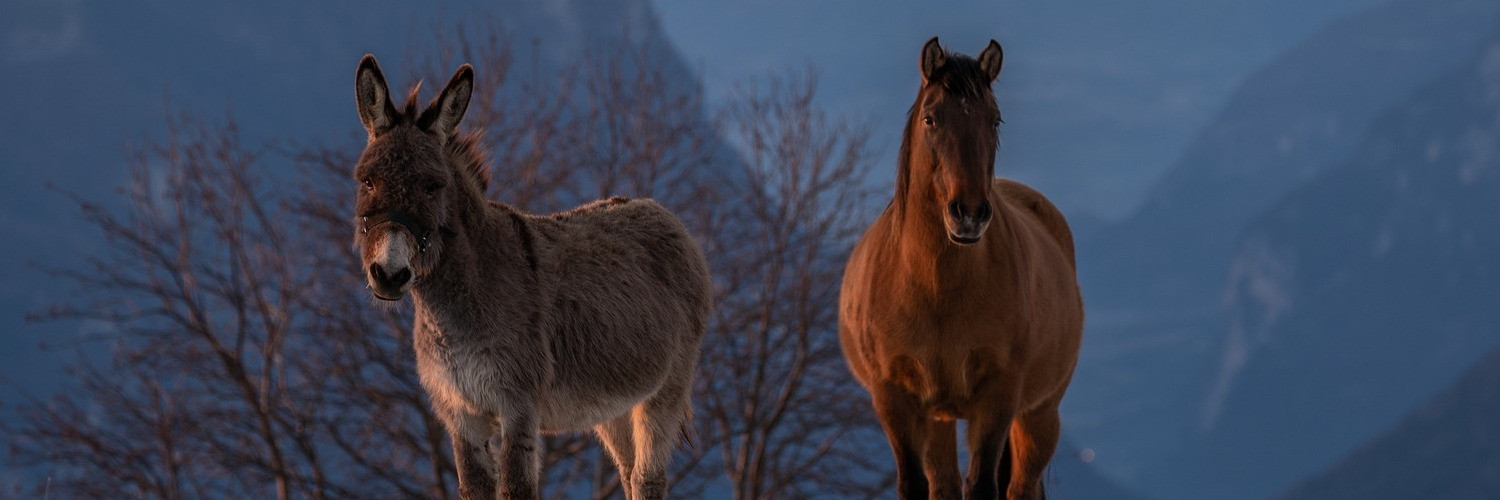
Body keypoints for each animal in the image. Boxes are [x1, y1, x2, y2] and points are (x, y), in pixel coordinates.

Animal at [348, 52, 711, 495]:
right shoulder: (460, 417)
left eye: (433, 186)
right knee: (628, 472)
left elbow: (518, 487)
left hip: (666, 388)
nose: (389, 274)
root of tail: (661, 212)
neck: (458, 303)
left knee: (648, 478)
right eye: (367, 180)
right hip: (612, 403)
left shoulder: (518, 406)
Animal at [834, 36, 1092, 495]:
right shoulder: (895, 402)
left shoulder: (998, 400)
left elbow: (984, 485)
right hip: (938, 419)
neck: (937, 291)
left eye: (995, 120)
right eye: (931, 118)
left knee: (1021, 487)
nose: (969, 213)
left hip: (1039, 415)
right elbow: (915, 485)